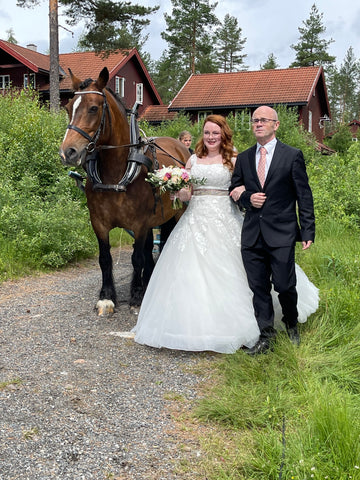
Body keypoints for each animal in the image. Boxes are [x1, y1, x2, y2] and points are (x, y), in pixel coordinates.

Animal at [58, 66, 191, 316]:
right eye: (69, 108)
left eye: (93, 108)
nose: (67, 152)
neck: (116, 173)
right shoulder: (99, 222)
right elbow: (105, 258)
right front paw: (107, 296)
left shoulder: (139, 223)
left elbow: (136, 258)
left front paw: (136, 296)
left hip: (176, 213)